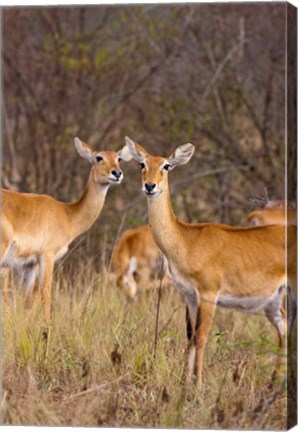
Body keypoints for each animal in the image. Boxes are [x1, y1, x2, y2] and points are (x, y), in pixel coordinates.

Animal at [0, 138, 132, 324]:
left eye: (118, 158)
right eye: (99, 157)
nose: (117, 173)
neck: (67, 214)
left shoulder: (29, 264)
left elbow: (28, 304)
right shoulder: (47, 256)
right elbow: (45, 299)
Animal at [124, 138, 296, 388]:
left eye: (166, 165)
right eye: (142, 164)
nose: (150, 186)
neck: (187, 240)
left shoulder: (209, 295)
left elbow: (202, 338)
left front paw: (197, 385)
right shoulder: (189, 296)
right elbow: (191, 338)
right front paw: (184, 384)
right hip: (272, 302)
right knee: (283, 330)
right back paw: (273, 384)